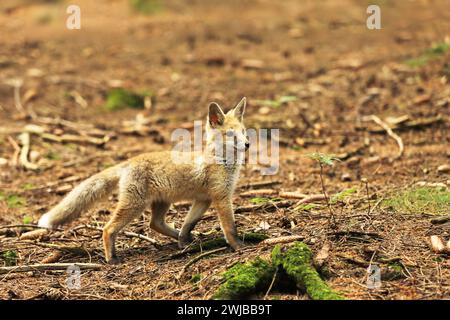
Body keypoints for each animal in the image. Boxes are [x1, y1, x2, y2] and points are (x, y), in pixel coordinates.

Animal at [38, 99, 250, 264]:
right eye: (231, 135)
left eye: (244, 132)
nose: (248, 144)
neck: (221, 162)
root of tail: (130, 160)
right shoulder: (221, 198)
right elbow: (230, 228)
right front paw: (239, 247)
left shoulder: (203, 199)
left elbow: (189, 223)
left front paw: (184, 240)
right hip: (135, 205)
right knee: (108, 228)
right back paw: (111, 259)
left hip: (162, 201)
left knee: (154, 224)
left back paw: (181, 237)